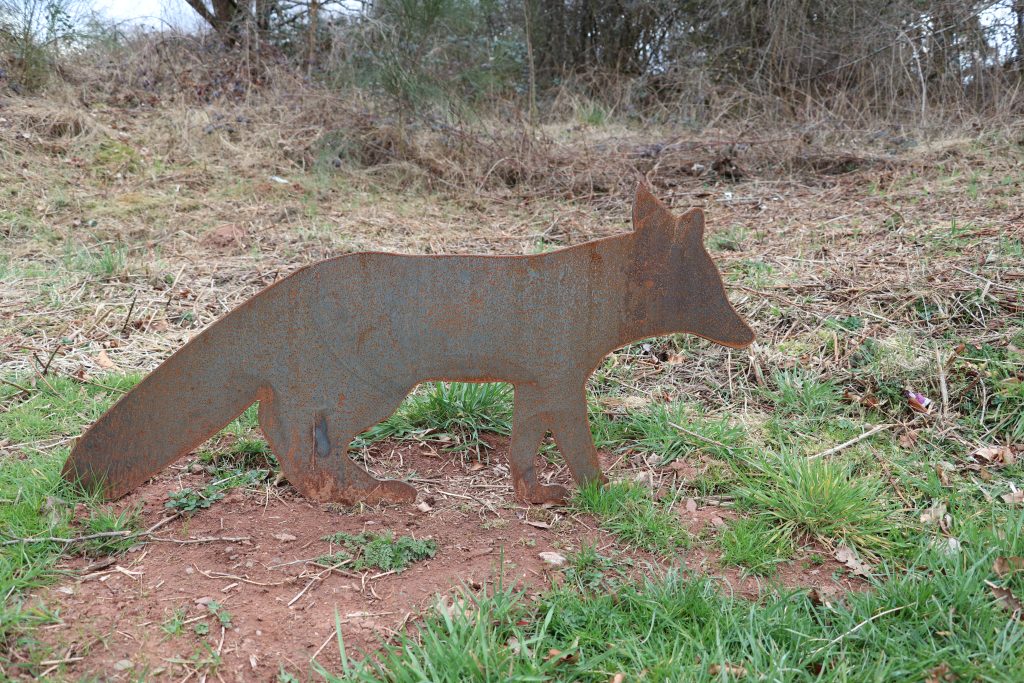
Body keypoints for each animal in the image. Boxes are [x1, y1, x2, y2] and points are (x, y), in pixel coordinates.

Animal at [63, 186, 754, 505]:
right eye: (715, 292)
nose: (747, 334)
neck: (583, 291)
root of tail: (288, 286)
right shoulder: (561, 387)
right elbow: (580, 451)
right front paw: (601, 494)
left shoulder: (534, 388)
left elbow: (523, 451)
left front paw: (534, 495)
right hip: (374, 392)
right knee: (294, 431)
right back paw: (361, 493)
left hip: (342, 391)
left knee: (279, 425)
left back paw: (340, 490)